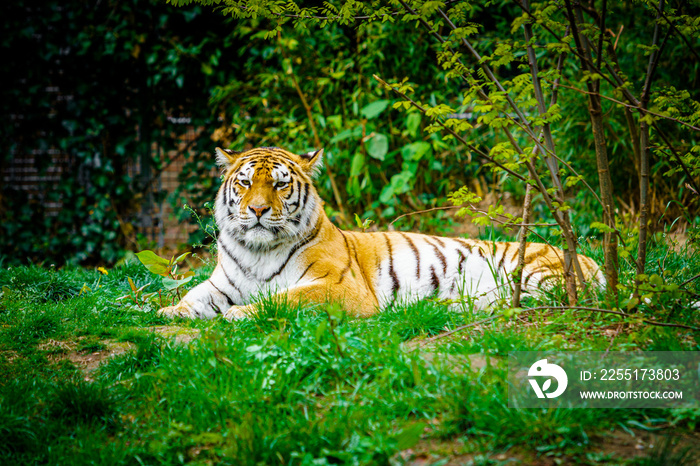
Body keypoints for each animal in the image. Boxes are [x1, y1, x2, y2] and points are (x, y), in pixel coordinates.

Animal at [157, 146, 600, 320]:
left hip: (534, 274)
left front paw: (240, 314)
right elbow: (194, 296)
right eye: (246, 183)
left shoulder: (338, 287)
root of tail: (593, 261)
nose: (258, 210)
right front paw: (167, 312)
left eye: (280, 185)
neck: (258, 251)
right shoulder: (221, 283)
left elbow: (283, 299)